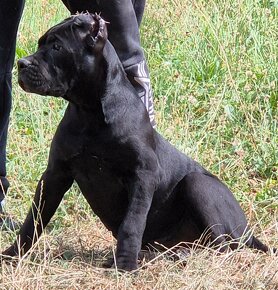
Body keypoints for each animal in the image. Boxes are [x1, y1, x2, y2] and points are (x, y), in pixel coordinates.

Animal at [1, 14, 272, 272]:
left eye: (57, 46)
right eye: (41, 44)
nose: (22, 64)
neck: (90, 112)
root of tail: (248, 231)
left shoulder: (143, 175)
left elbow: (132, 223)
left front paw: (125, 265)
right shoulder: (55, 174)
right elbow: (34, 219)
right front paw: (12, 254)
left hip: (199, 184)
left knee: (222, 247)